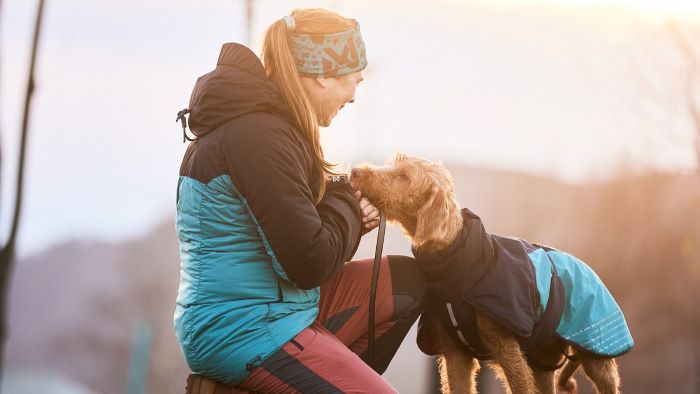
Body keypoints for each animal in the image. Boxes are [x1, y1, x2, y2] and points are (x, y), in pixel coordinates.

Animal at [352, 154, 632, 394]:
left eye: (405, 177)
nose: (355, 171)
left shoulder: (507, 349)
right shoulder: (455, 355)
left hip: (598, 355)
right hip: (543, 360)